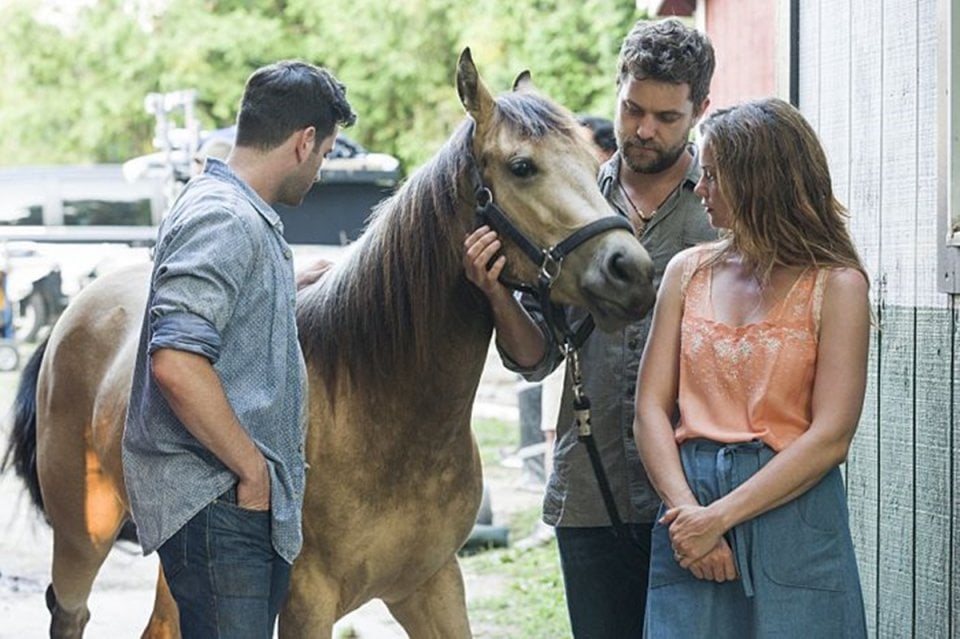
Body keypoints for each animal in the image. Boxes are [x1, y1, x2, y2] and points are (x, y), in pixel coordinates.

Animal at [1, 47, 652, 636]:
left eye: (595, 161)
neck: (383, 414)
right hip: (83, 534)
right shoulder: (305, 603)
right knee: (70, 613)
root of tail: (75, 314)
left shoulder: (433, 584)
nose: (634, 271)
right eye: (522, 167)